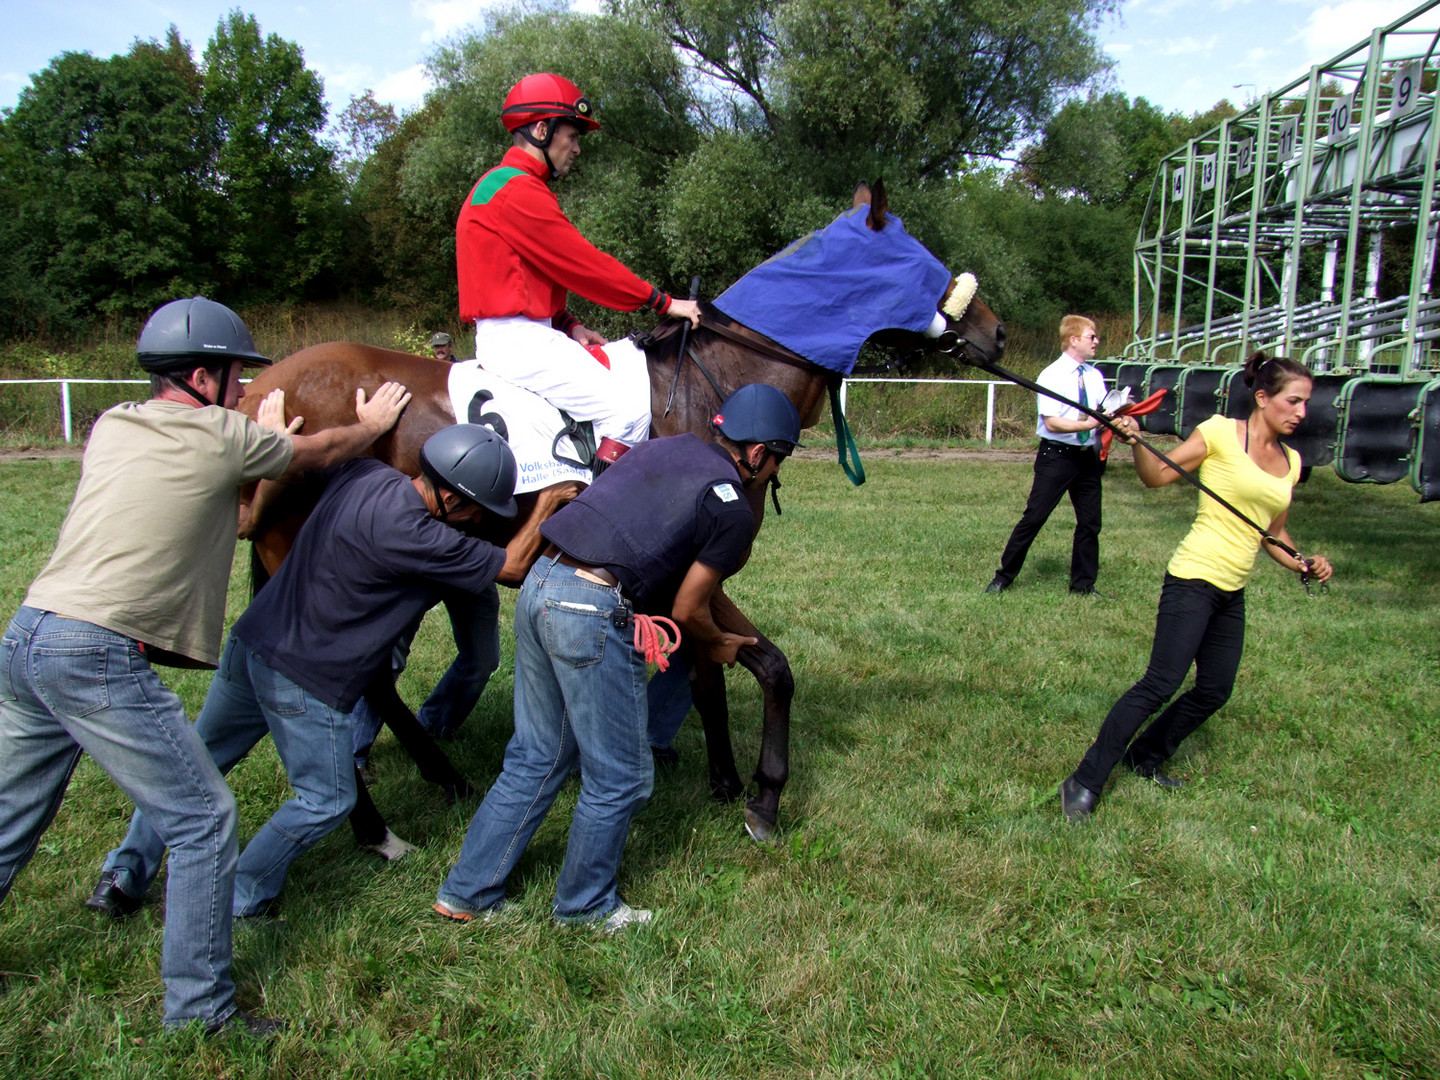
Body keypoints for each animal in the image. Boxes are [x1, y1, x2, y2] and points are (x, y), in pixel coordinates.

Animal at [236, 184, 1002, 846]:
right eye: (919, 257)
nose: (995, 332)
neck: (712, 393)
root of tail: (260, 394)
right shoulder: (689, 564)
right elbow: (731, 666)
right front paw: (754, 786)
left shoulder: (692, 573)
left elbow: (742, 671)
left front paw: (733, 783)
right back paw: (372, 823)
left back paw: (437, 778)